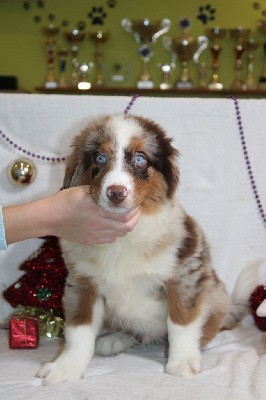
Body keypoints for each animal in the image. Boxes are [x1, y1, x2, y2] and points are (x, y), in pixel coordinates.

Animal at [37, 113, 229, 384]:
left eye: (140, 158)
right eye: (99, 157)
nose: (116, 193)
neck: (122, 238)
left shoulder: (186, 272)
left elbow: (181, 321)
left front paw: (181, 363)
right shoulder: (83, 281)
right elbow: (79, 330)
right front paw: (66, 368)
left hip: (217, 297)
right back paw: (113, 340)